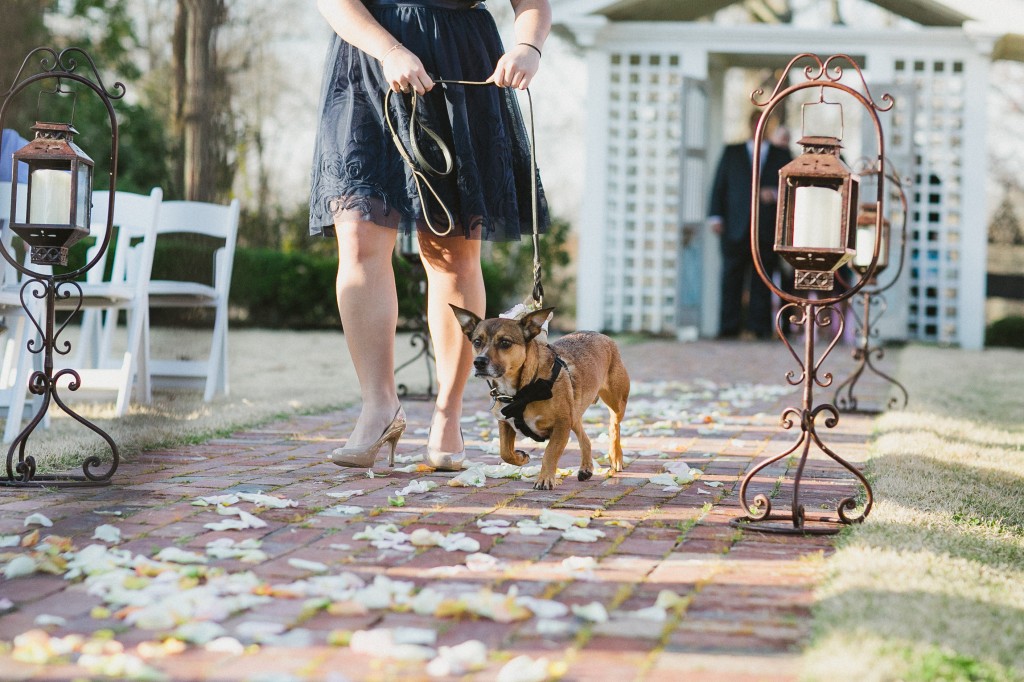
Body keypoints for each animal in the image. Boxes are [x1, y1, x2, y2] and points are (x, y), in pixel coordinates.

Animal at [452, 303, 626, 489]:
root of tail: (601, 335)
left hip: (616, 403)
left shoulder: (561, 425)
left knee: (614, 426)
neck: (522, 393)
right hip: (574, 414)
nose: (479, 362)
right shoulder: (505, 422)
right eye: (477, 342)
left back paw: (615, 456)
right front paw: (520, 458)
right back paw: (586, 468)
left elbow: (550, 453)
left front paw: (545, 479)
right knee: (585, 438)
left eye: (505, 342)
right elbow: (505, 451)